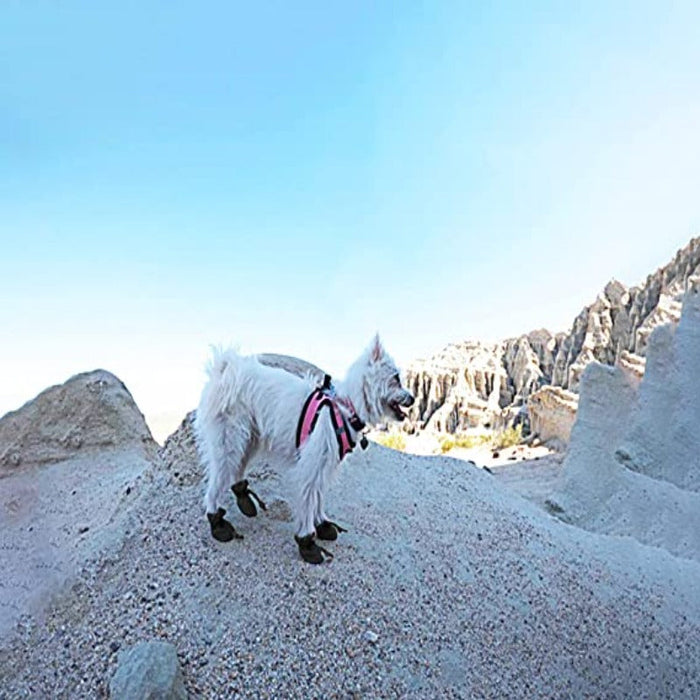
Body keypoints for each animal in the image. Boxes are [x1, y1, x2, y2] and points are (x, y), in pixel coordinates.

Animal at [194, 334, 412, 564]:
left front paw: (322, 524)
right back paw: (218, 524)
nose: (413, 398)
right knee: (215, 484)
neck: (346, 406)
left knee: (236, 470)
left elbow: (319, 497)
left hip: (248, 440)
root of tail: (223, 370)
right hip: (229, 443)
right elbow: (308, 501)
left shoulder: (324, 466)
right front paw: (307, 542)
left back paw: (244, 500)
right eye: (396, 378)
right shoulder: (312, 466)